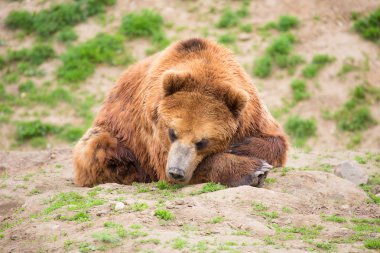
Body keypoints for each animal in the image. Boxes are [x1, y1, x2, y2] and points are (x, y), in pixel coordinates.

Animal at [72, 37, 288, 188]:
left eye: (202, 141)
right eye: (172, 132)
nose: (176, 171)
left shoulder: (252, 109)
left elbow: (276, 140)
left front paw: (240, 147)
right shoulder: (151, 128)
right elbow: (171, 163)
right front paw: (254, 170)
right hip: (117, 134)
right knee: (96, 148)